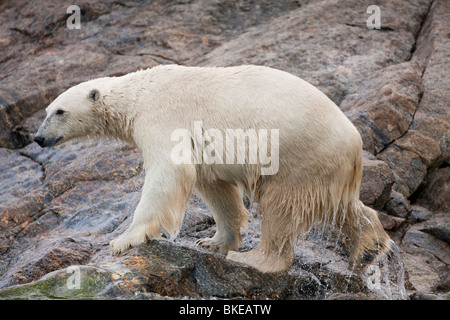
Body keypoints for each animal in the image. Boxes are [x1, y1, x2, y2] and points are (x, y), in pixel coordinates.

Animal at [34, 64, 390, 272]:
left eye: (60, 111)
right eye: (47, 111)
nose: (38, 138)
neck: (139, 93)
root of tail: (355, 141)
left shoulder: (162, 114)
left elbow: (170, 172)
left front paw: (125, 239)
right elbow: (214, 187)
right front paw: (213, 242)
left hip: (298, 153)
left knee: (282, 206)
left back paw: (256, 259)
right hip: (328, 166)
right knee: (342, 205)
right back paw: (369, 247)